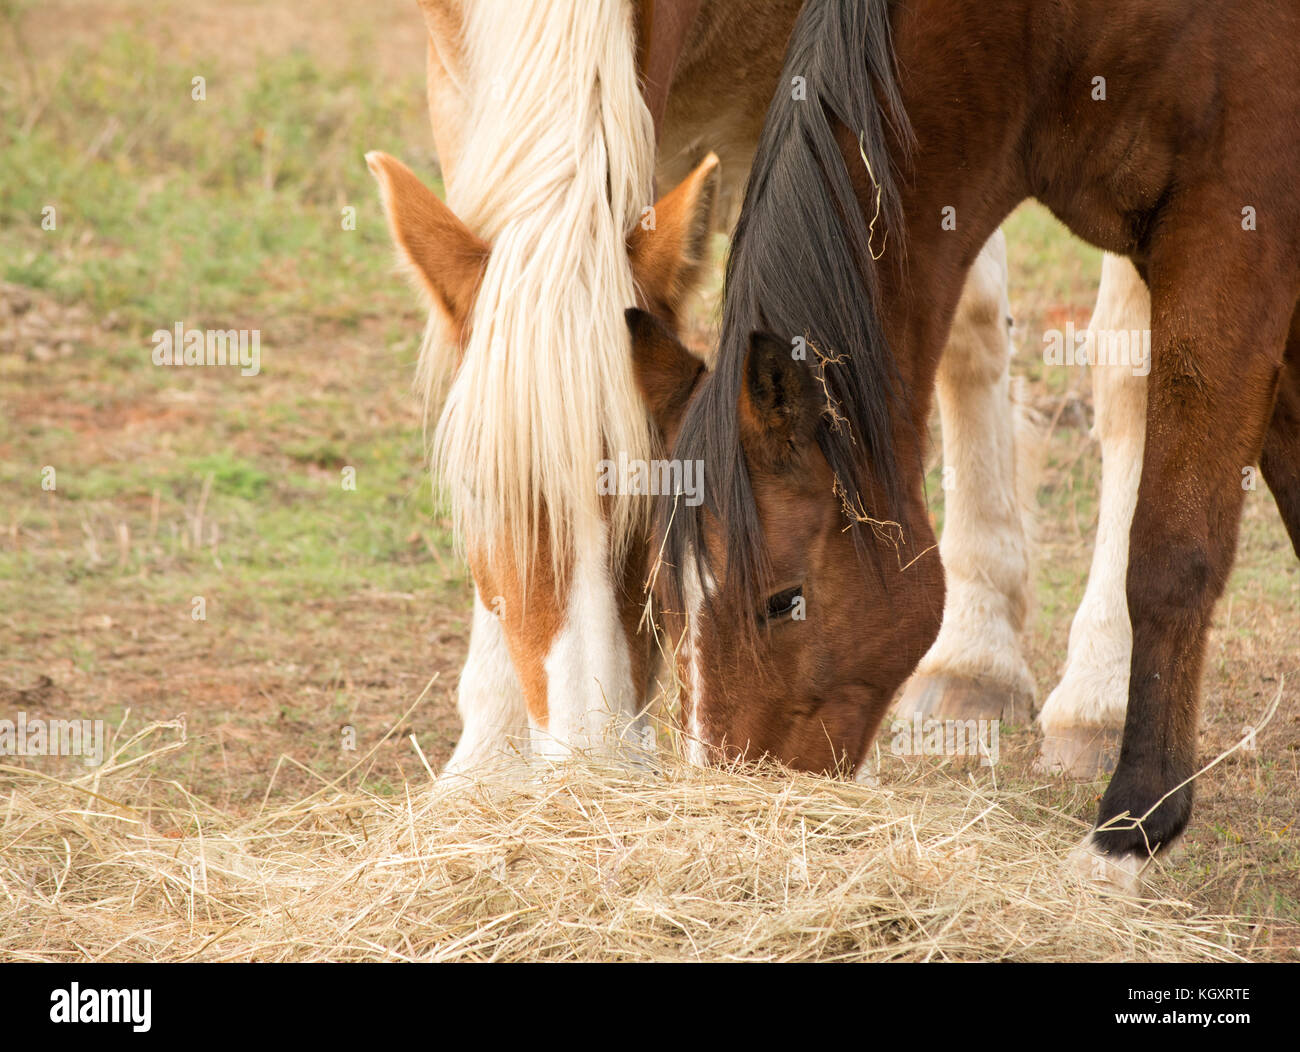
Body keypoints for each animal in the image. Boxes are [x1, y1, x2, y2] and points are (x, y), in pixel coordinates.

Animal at [647, 0, 1300, 884]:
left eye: (783, 600)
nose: (735, 799)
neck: (1048, 34)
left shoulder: (1233, 240)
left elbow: (1172, 553)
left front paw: (1130, 828)